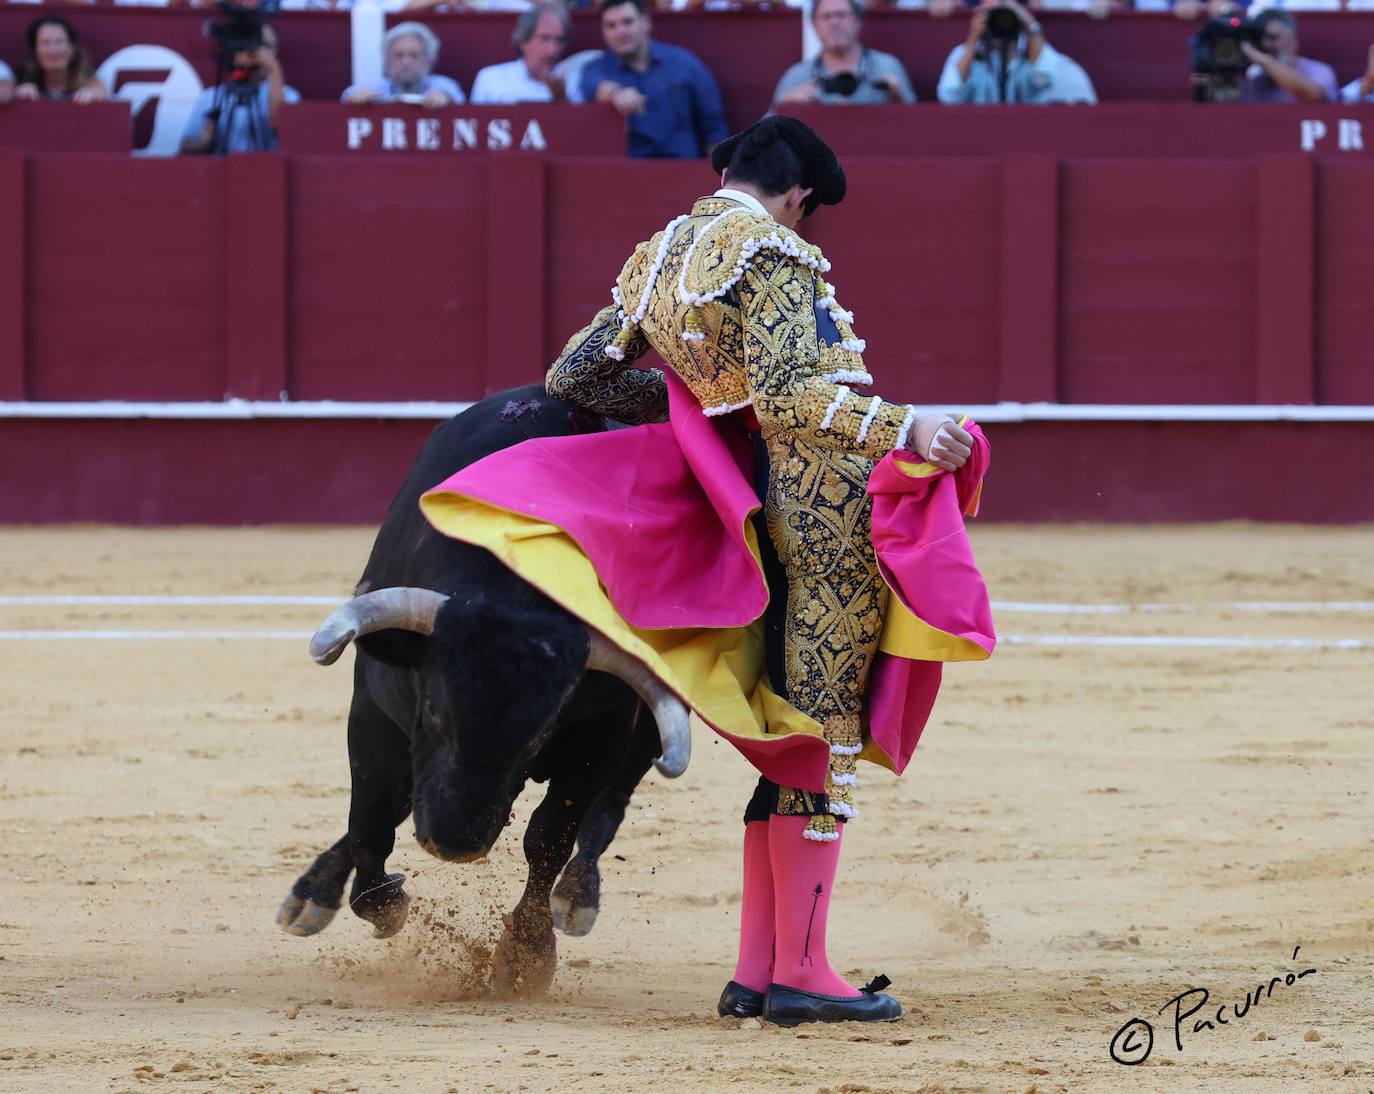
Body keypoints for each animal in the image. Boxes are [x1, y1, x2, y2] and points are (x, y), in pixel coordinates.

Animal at [276, 382, 697, 989]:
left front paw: (525, 956)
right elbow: (370, 821)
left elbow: (548, 837)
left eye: (538, 736)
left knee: (612, 803)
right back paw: (312, 894)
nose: (455, 843)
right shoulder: (374, 714)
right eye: (434, 711)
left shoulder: (601, 732)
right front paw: (384, 904)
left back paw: (578, 896)